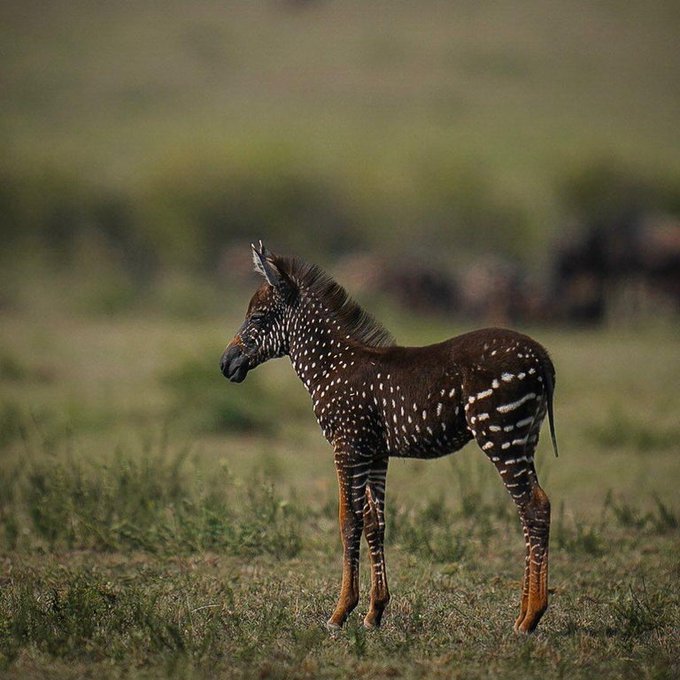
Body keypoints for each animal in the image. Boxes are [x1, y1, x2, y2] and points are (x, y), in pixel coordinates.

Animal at [220, 242, 558, 634]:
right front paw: (374, 611)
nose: (225, 364)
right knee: (530, 510)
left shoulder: (347, 445)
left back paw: (531, 617)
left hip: (501, 436)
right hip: (524, 439)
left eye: (258, 318)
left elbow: (347, 520)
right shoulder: (375, 452)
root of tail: (542, 356)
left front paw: (340, 612)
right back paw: (522, 614)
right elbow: (374, 523)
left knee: (534, 506)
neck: (331, 365)